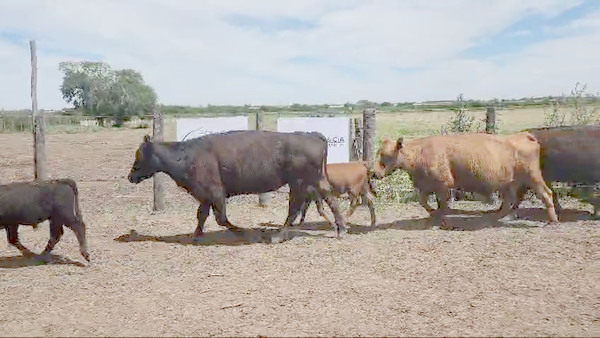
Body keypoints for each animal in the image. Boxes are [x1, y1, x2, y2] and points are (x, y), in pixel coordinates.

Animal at [130, 130, 346, 240]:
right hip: (311, 182)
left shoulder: (216, 193)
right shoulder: (206, 196)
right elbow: (202, 215)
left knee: (295, 208)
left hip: (300, 183)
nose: (130, 176)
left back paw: (279, 235)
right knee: (329, 200)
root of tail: (312, 135)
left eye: (139, 155)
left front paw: (241, 231)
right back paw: (341, 229)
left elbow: (221, 218)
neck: (186, 155)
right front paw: (196, 235)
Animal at [372, 132, 560, 227]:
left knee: (546, 194)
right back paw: (494, 217)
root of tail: (524, 135)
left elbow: (443, 205)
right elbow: (423, 201)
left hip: (533, 178)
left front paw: (442, 220)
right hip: (509, 183)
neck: (420, 152)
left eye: (387, 155)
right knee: (509, 201)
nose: (374, 173)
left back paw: (552, 220)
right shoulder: (427, 185)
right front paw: (433, 213)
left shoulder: (443, 185)